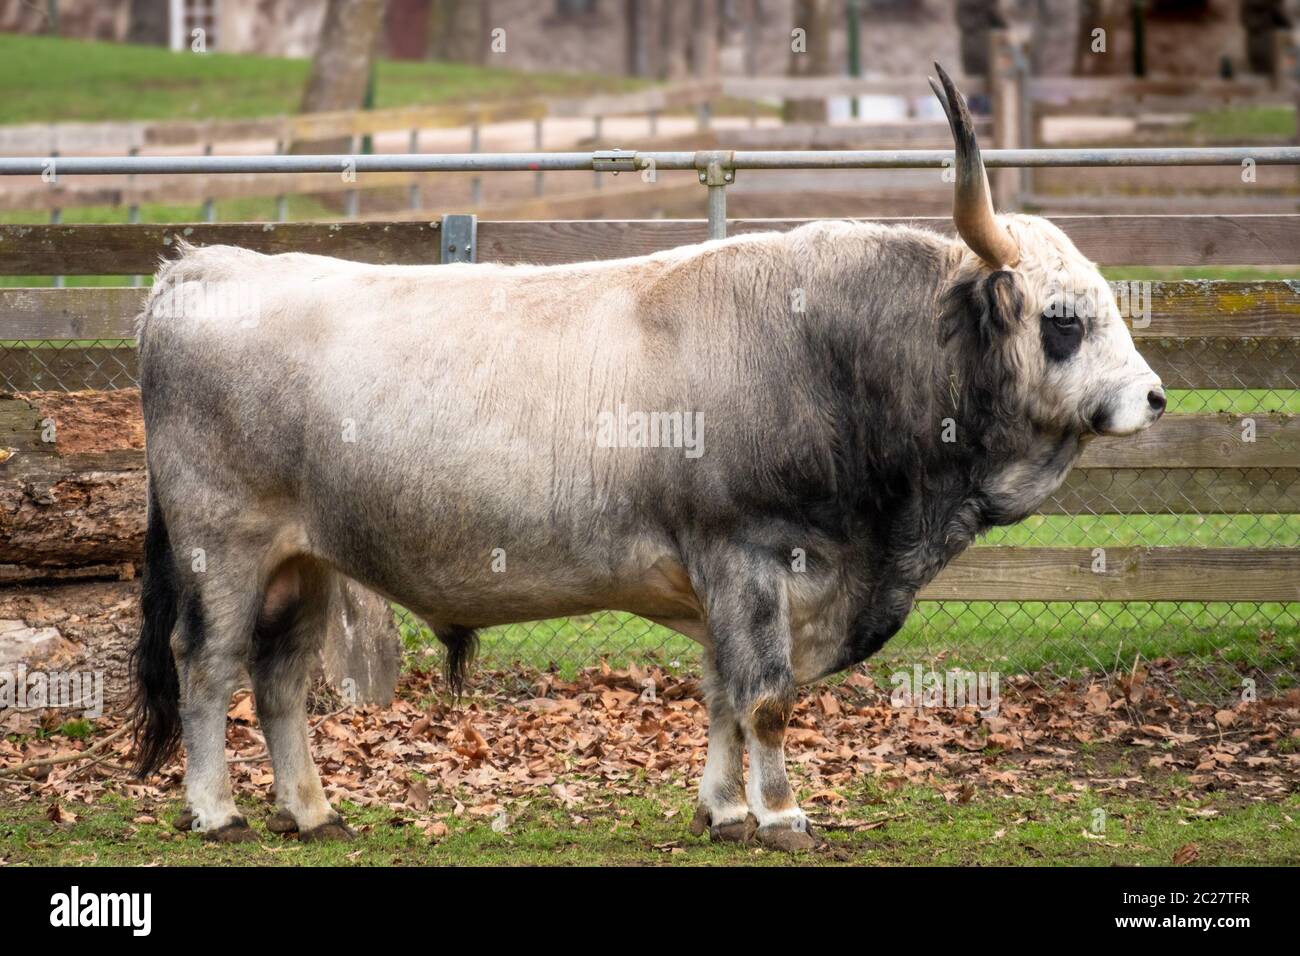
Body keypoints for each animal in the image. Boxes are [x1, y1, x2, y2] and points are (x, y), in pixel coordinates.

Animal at [134, 69, 1170, 853]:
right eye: (1064, 320)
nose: (1156, 398)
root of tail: (199, 267)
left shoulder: (726, 584)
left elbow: (720, 695)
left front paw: (722, 809)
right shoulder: (750, 557)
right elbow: (766, 699)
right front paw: (783, 815)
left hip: (303, 562)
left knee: (277, 680)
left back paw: (311, 812)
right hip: (223, 547)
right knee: (207, 665)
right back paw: (215, 810)